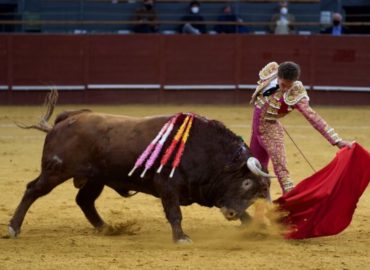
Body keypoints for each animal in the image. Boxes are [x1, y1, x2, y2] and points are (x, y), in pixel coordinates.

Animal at [8, 92, 272, 244]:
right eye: (246, 182)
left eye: (259, 192)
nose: (231, 214)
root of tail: (68, 119)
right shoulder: (168, 186)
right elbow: (174, 212)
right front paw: (181, 238)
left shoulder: (210, 190)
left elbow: (237, 210)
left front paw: (256, 228)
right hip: (56, 170)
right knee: (33, 190)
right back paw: (13, 228)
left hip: (95, 178)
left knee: (84, 200)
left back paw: (107, 228)